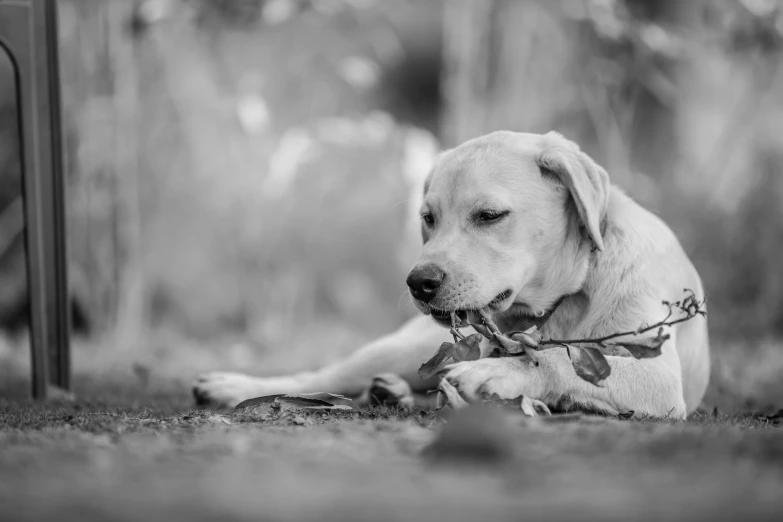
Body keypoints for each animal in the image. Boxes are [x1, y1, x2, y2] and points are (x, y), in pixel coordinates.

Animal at [191, 131, 712, 418]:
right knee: (325, 375)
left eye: (490, 215)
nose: (418, 283)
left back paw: (395, 393)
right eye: (428, 218)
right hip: (404, 347)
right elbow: (550, 354)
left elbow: (553, 357)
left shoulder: (660, 379)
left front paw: (495, 371)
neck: (573, 289)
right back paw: (236, 387)